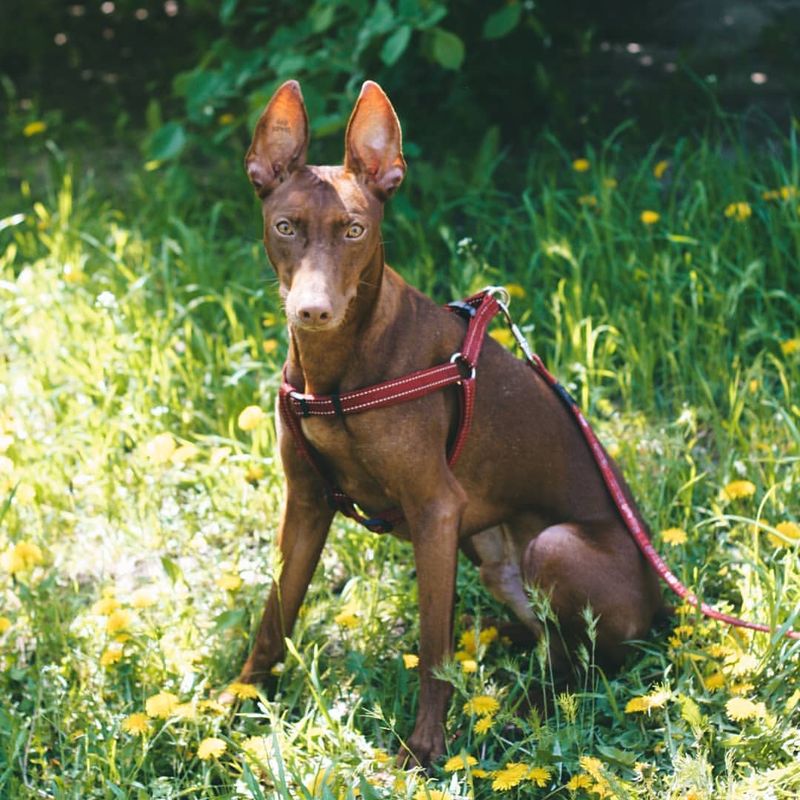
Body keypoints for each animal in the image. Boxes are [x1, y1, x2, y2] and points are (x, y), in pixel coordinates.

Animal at [239, 78, 664, 764]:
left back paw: (522, 709)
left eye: (354, 229)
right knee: (552, 644)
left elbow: (433, 651)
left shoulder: (435, 509)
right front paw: (235, 706)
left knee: (586, 666)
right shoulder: (303, 502)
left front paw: (424, 750)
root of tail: (662, 608)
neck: (338, 373)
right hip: (491, 554)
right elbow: (273, 619)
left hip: (553, 545)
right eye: (285, 227)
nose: (313, 312)